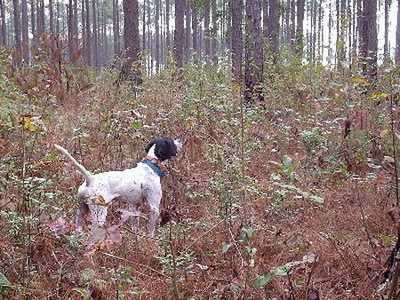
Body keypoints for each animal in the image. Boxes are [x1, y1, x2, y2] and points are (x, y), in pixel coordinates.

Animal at [54, 138, 183, 237]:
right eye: (171, 141)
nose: (179, 141)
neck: (151, 165)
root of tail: (90, 179)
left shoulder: (134, 206)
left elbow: (135, 225)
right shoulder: (154, 207)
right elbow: (151, 230)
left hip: (81, 211)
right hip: (99, 212)